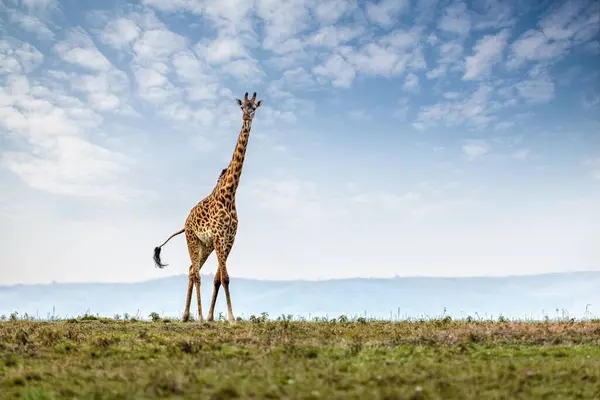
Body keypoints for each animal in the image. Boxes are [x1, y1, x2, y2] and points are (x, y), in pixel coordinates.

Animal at [152, 90, 262, 322]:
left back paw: (187, 316)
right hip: (192, 240)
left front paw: (214, 317)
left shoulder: (228, 239)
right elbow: (225, 278)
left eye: (254, 107)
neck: (229, 194)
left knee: (190, 270)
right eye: (241, 107)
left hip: (206, 246)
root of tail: (184, 224)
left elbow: (219, 278)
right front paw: (230, 318)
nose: (246, 118)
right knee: (195, 272)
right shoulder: (220, 236)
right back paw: (198, 317)